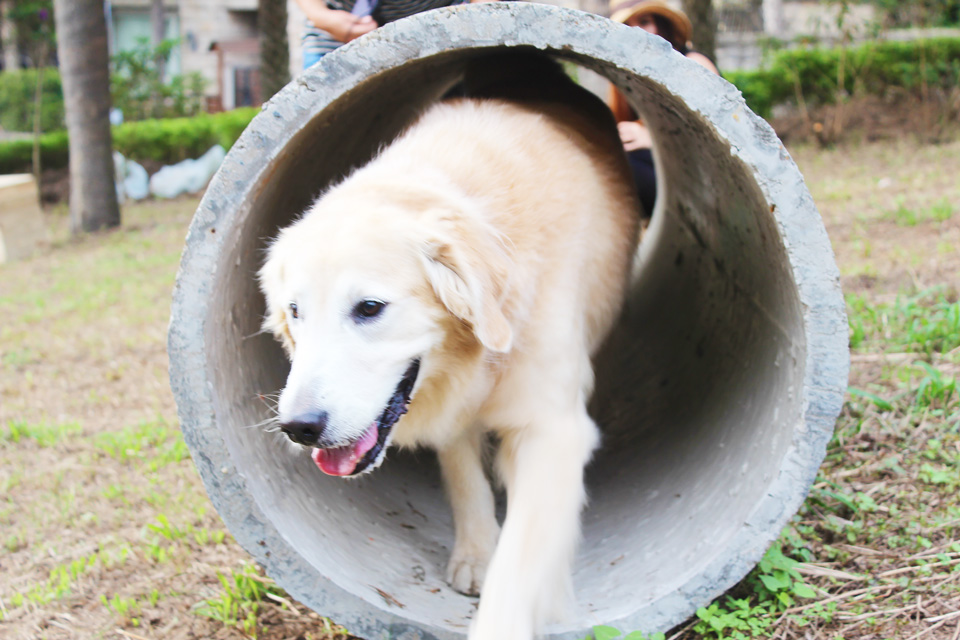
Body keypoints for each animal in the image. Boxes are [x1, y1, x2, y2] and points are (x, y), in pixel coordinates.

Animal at [258, 56, 640, 640]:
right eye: (295, 311)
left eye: (369, 307)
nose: (299, 428)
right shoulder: (453, 412)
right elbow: (464, 477)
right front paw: (477, 553)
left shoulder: (551, 429)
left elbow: (518, 566)